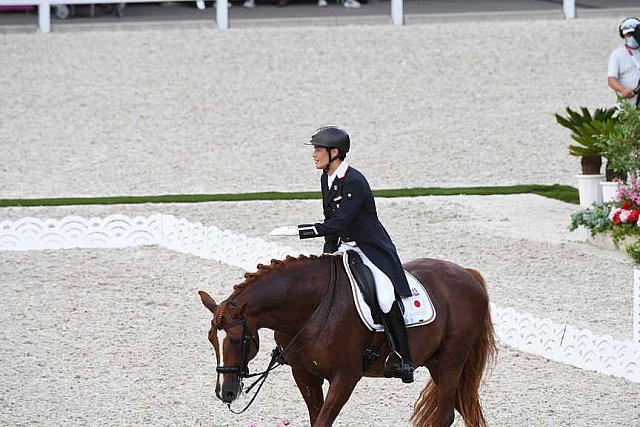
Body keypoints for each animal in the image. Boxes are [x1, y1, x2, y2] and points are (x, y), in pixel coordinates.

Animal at [199, 256, 496, 426]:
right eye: (212, 339)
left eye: (236, 340)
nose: (225, 392)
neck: (311, 307)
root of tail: (468, 274)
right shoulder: (305, 375)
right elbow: (316, 419)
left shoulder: (345, 376)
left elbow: (323, 421)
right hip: (437, 364)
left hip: (450, 362)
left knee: (444, 416)